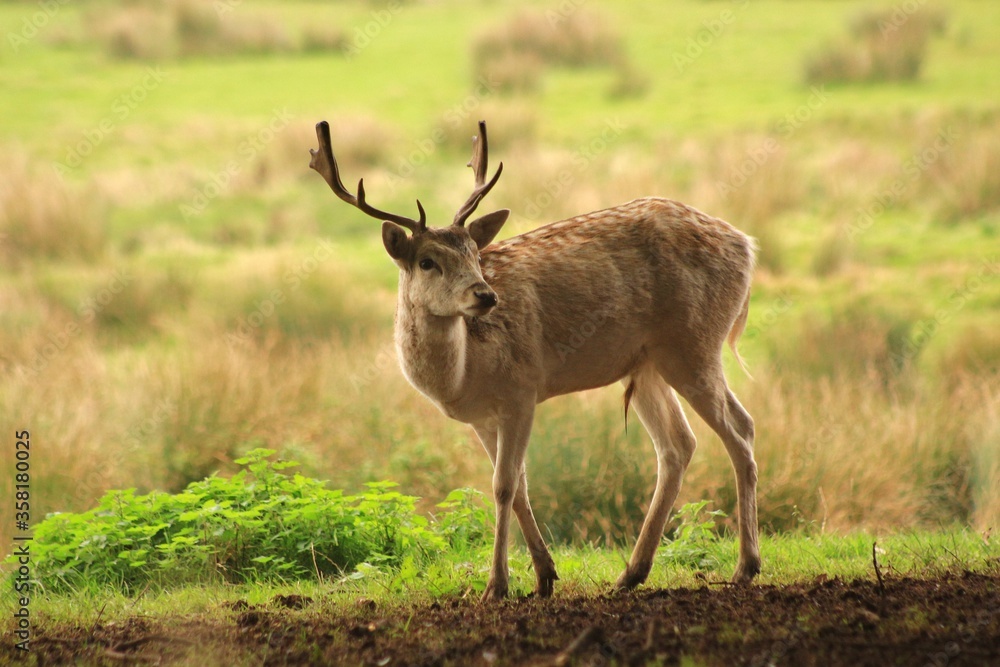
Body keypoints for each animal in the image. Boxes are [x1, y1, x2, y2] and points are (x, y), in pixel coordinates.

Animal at [309, 120, 760, 601]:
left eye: (474, 255)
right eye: (427, 261)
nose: (485, 295)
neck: (462, 377)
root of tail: (748, 246)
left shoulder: (522, 390)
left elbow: (504, 485)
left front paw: (497, 585)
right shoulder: (481, 416)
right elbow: (519, 485)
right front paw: (544, 576)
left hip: (693, 344)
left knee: (740, 429)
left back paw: (745, 567)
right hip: (647, 364)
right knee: (679, 444)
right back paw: (631, 574)